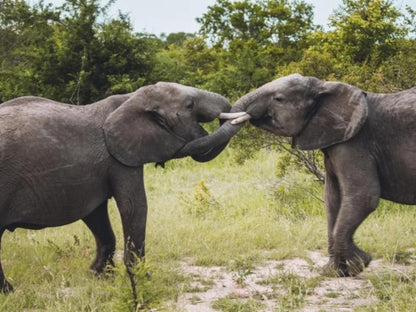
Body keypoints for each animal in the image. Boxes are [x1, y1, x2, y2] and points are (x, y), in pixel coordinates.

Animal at [0, 82, 240, 292]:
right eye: (189, 105)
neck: (131, 99)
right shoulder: (119, 159)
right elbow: (134, 207)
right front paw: (144, 280)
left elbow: (96, 215)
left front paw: (99, 276)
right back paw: (9, 291)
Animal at [184, 73, 416, 278]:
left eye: (278, 99)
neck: (325, 88)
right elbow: (332, 198)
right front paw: (333, 272)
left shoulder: (355, 142)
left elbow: (363, 196)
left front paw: (360, 263)